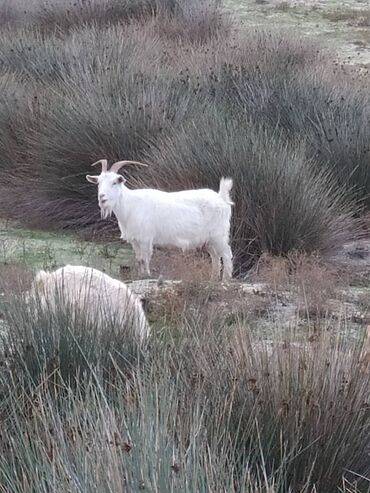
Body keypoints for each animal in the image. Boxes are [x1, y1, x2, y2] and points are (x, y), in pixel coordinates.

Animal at [85, 160, 233, 278]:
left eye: (115, 182)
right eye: (98, 182)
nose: (102, 197)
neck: (130, 205)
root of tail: (221, 197)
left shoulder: (145, 239)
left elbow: (145, 259)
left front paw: (147, 275)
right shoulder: (134, 241)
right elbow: (139, 259)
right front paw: (140, 276)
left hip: (219, 235)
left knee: (226, 255)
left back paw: (225, 281)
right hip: (210, 240)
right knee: (215, 257)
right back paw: (213, 279)